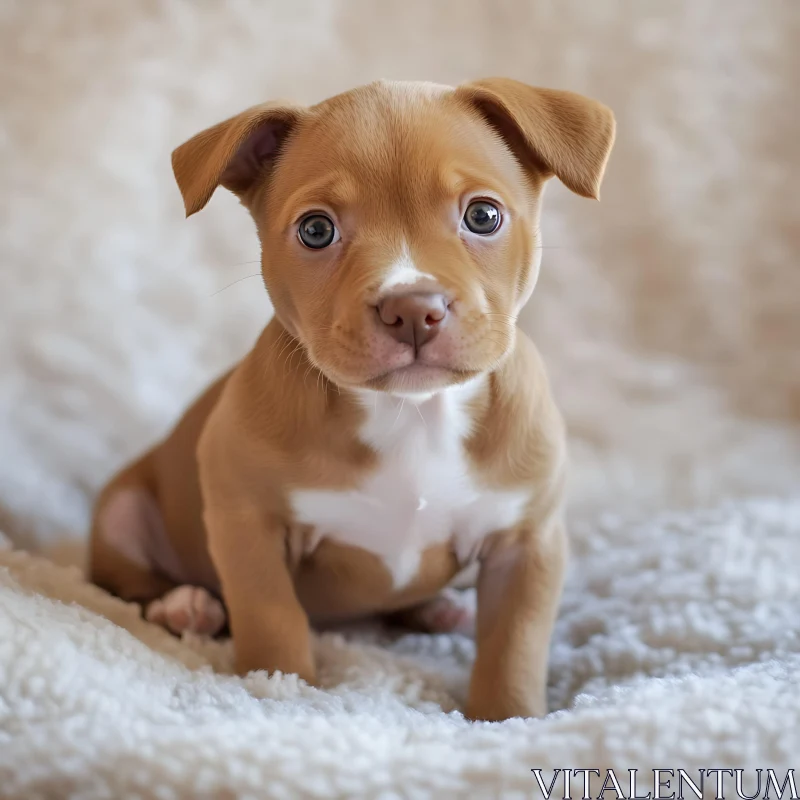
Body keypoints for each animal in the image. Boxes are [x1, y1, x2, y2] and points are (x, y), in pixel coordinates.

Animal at [89, 78, 612, 720]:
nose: (412, 306)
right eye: (316, 230)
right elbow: (272, 616)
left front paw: (508, 716)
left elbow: (514, 644)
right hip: (120, 512)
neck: (413, 413)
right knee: (132, 584)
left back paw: (440, 608)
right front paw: (279, 689)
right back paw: (185, 605)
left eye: (483, 216)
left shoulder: (528, 543)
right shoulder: (248, 521)